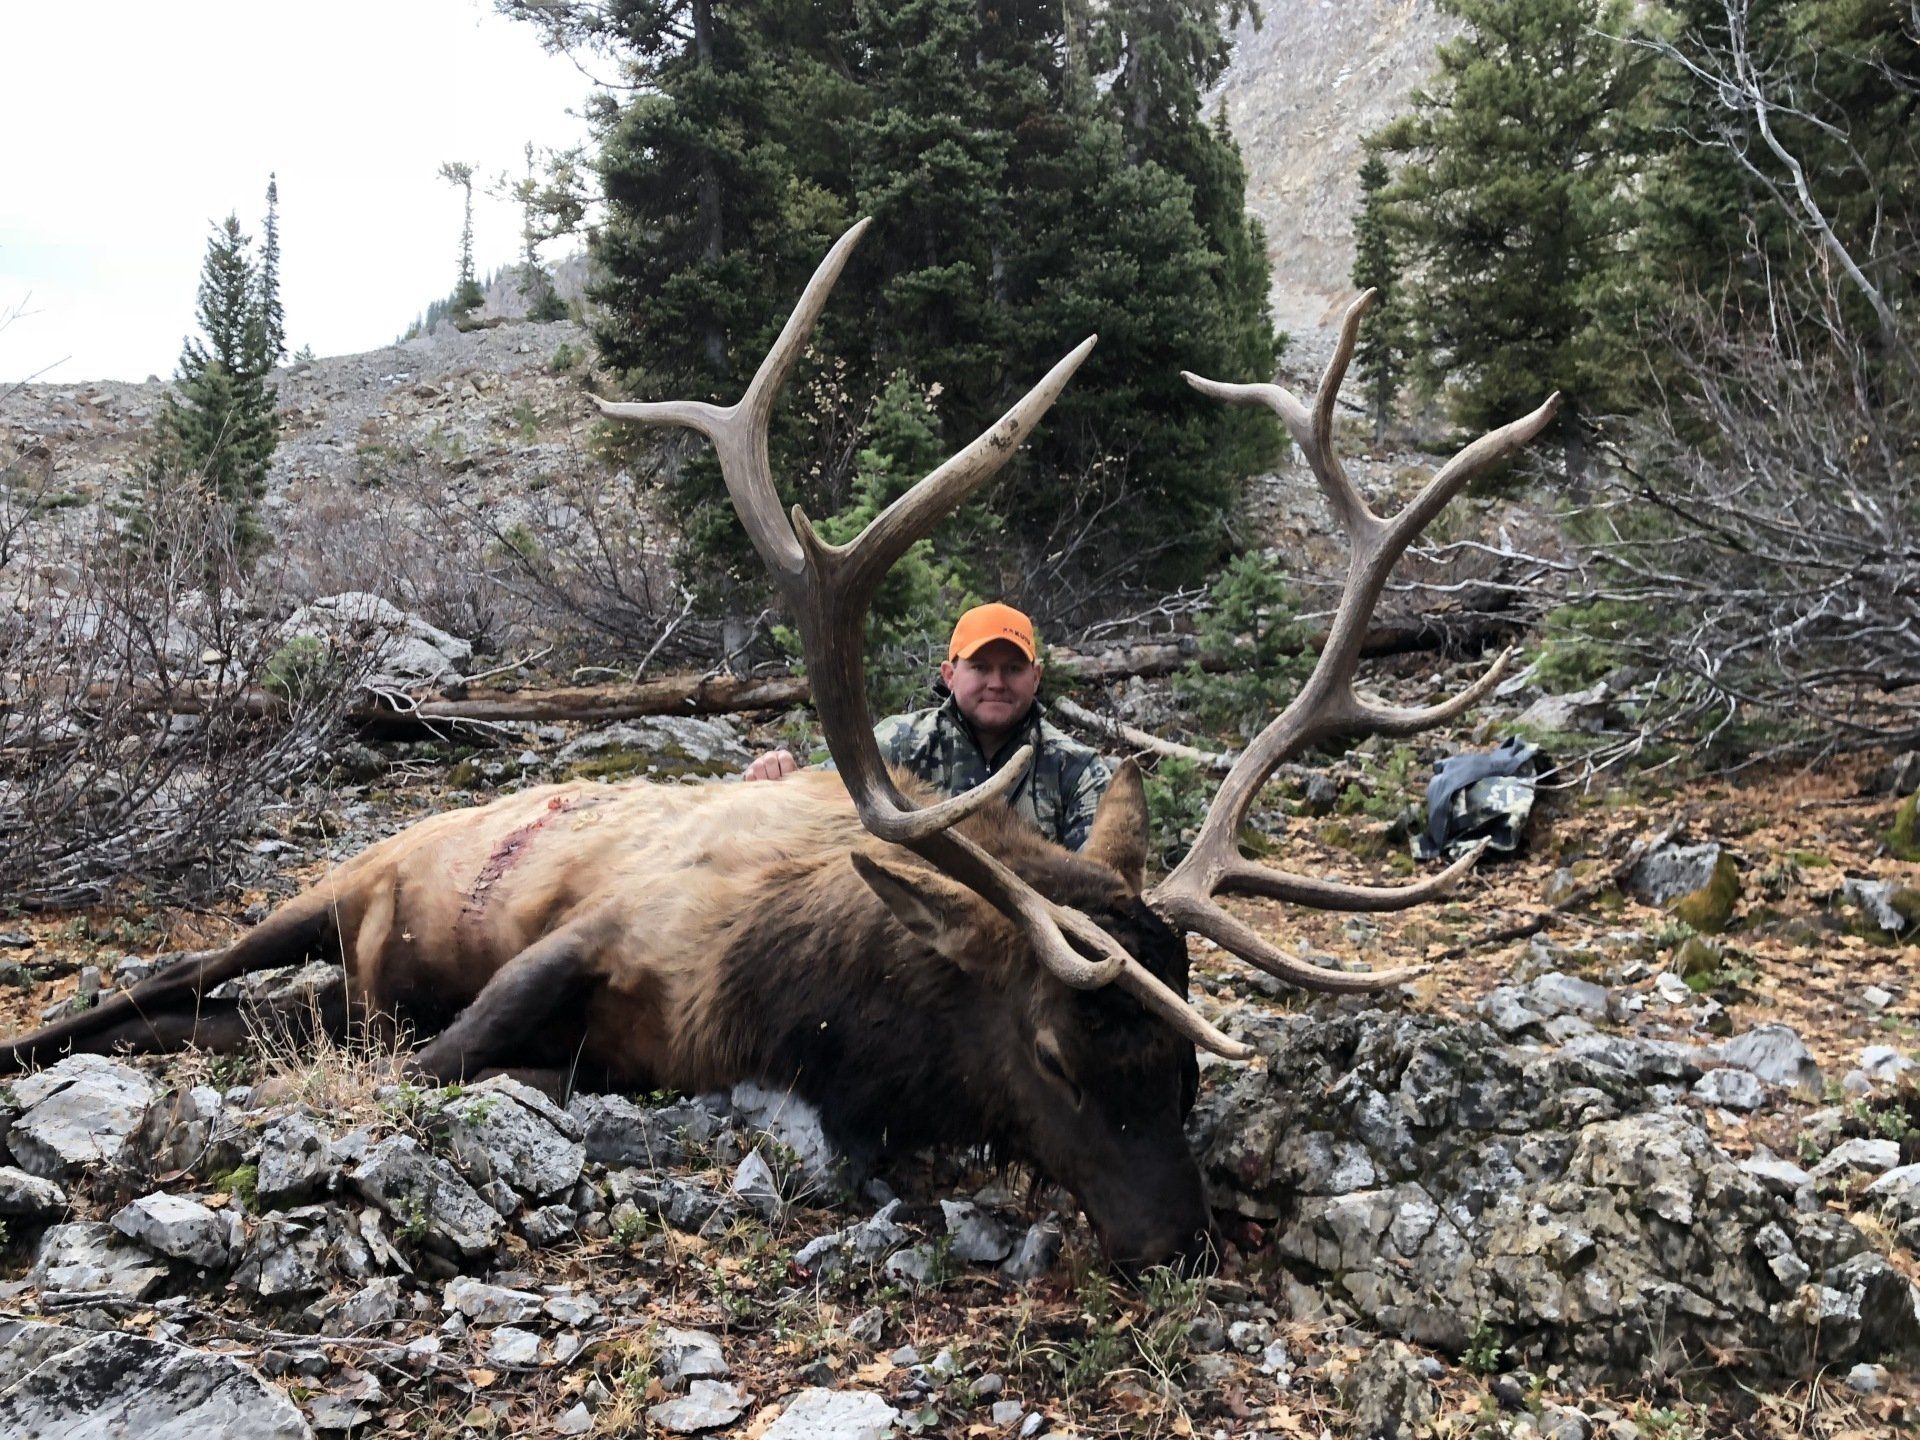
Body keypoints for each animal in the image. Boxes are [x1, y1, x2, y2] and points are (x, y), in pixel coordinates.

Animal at [0, 220, 1557, 1271]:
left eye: (1182, 1064)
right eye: (1059, 1056)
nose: (1179, 1240)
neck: (811, 1001)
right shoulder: (598, 932)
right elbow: (450, 1062)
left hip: (346, 970)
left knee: (251, 1013)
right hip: (341, 887)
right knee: (183, 980)